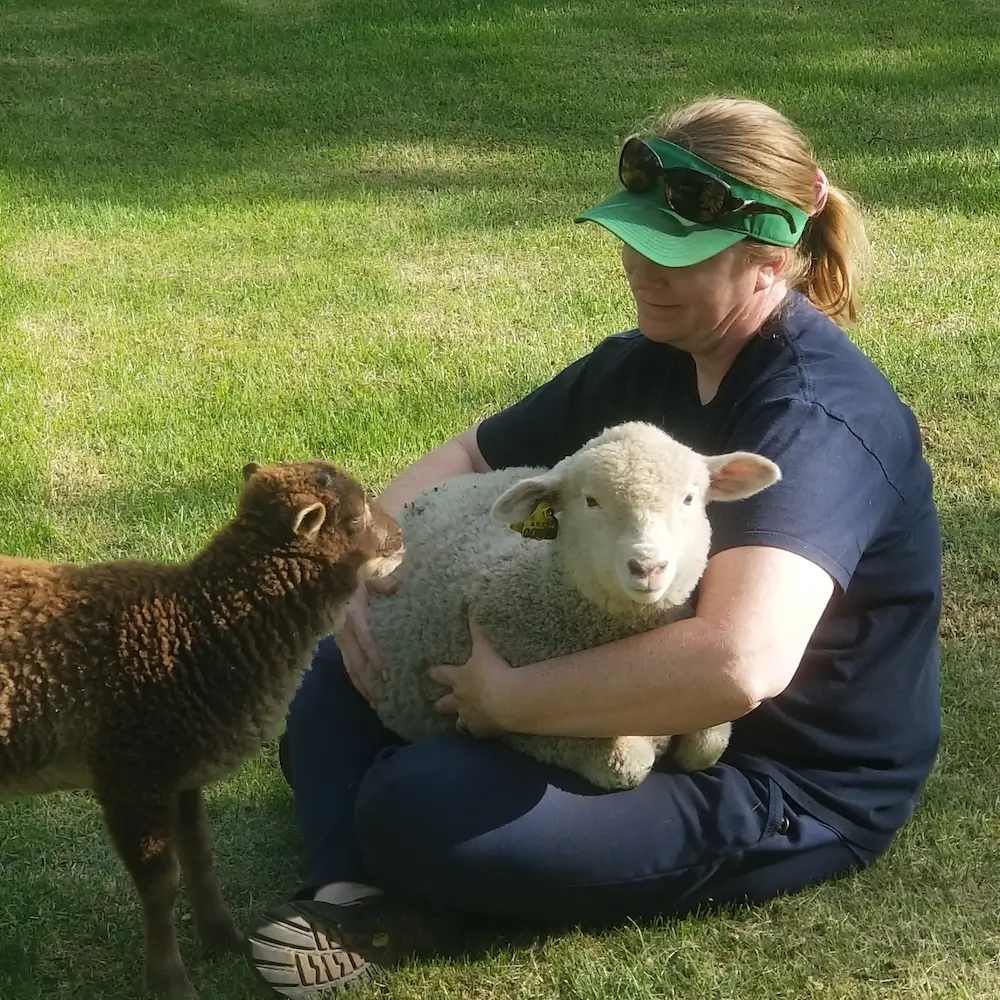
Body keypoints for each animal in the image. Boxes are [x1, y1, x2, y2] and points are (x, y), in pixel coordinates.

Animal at [0, 459, 403, 1000]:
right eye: (355, 520)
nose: (400, 538)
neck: (191, 626)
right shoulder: (132, 775)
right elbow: (160, 882)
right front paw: (170, 980)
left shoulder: (181, 770)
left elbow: (199, 852)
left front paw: (222, 936)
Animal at [365, 421, 780, 791]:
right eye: (591, 501)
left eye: (689, 499)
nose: (648, 567)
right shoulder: (544, 731)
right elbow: (630, 763)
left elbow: (706, 746)